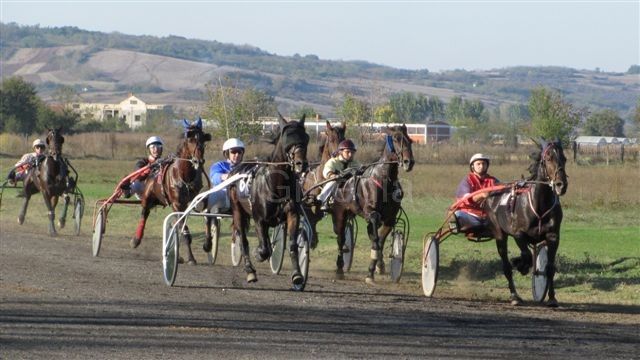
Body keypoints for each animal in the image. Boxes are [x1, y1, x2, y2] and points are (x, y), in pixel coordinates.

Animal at [132, 119, 212, 264]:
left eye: (203, 139)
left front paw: (208, 244)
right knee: (144, 213)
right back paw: (136, 240)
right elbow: (185, 231)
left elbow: (207, 217)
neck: (185, 176)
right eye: (190, 139)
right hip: (147, 197)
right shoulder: (177, 204)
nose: (199, 160)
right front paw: (191, 258)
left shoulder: (200, 199)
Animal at [229, 114, 312, 288]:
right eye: (288, 138)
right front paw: (258, 255)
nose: (301, 164)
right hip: (237, 211)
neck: (277, 185)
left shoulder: (292, 214)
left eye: (306, 137)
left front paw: (297, 275)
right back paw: (250, 271)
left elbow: (293, 245)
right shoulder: (259, 219)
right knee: (243, 240)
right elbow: (263, 249)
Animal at [330, 125, 416, 282]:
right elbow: (375, 240)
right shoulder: (372, 213)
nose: (409, 162)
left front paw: (377, 267)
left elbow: (379, 241)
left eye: (410, 140)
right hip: (340, 214)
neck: (385, 180)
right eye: (396, 139)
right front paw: (371, 272)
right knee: (341, 238)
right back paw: (339, 269)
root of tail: (342, 180)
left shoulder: (389, 219)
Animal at [482, 138, 568, 306]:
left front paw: (552, 298)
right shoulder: (518, 234)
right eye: (549, 158)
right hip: (499, 234)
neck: (539, 204)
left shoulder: (553, 236)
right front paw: (520, 264)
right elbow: (526, 255)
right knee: (506, 266)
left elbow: (549, 268)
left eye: (565, 158)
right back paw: (514, 296)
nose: (561, 184)